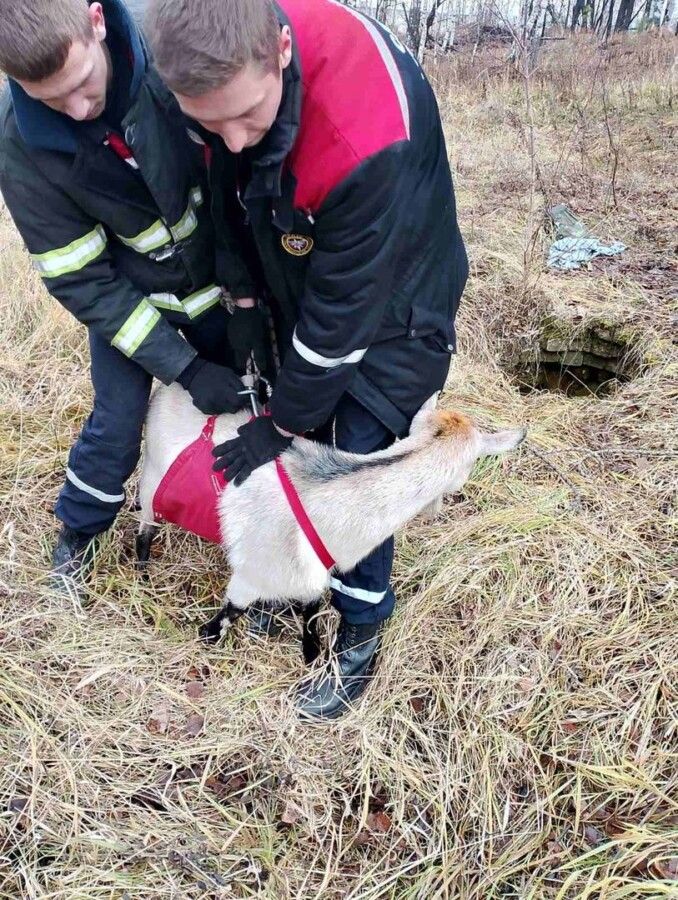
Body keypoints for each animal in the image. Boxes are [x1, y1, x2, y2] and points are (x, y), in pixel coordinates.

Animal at [137, 384, 524, 656]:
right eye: (470, 467)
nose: (438, 510)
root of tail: (168, 389)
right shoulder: (252, 576)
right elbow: (232, 610)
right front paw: (209, 635)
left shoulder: (313, 576)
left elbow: (311, 608)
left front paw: (312, 650)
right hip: (151, 482)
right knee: (144, 530)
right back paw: (142, 575)